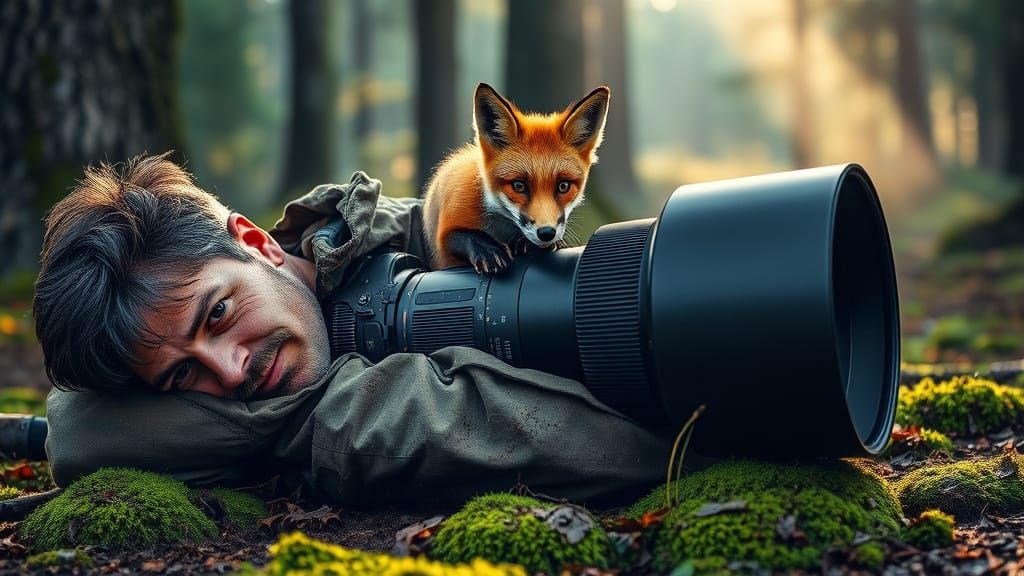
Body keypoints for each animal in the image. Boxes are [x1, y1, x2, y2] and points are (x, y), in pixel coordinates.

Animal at [423, 83, 610, 273]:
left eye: (563, 186)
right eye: (518, 186)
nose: (546, 233)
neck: (500, 224)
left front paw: (528, 244)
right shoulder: (446, 232)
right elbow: (465, 236)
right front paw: (488, 250)